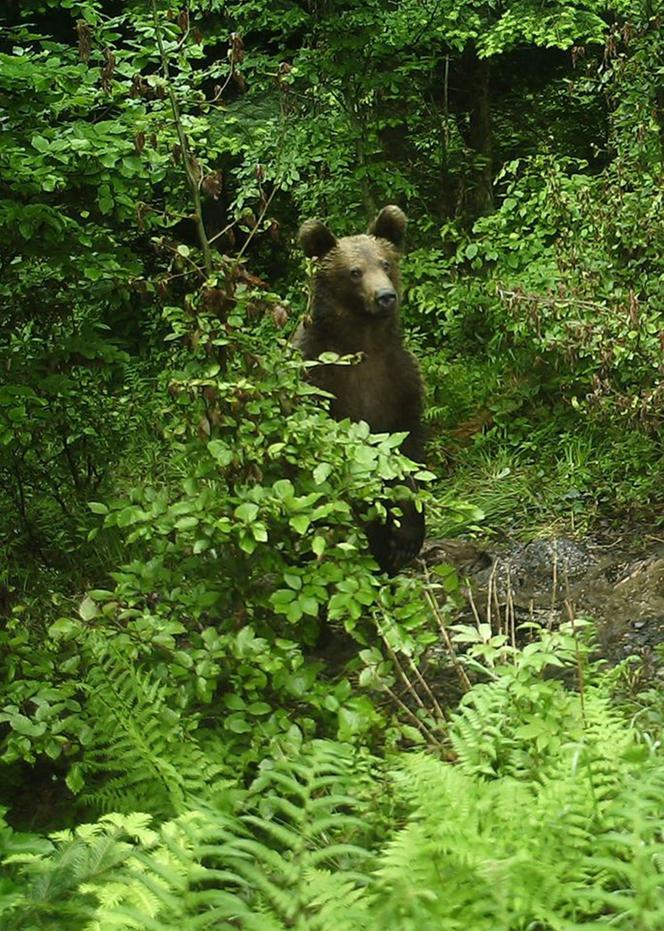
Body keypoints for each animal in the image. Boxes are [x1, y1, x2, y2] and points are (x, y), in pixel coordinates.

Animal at [294, 206, 426, 576]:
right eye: (354, 272)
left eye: (385, 262)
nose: (385, 296)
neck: (363, 342)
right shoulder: (320, 381)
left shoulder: (398, 381)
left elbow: (406, 451)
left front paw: (407, 537)